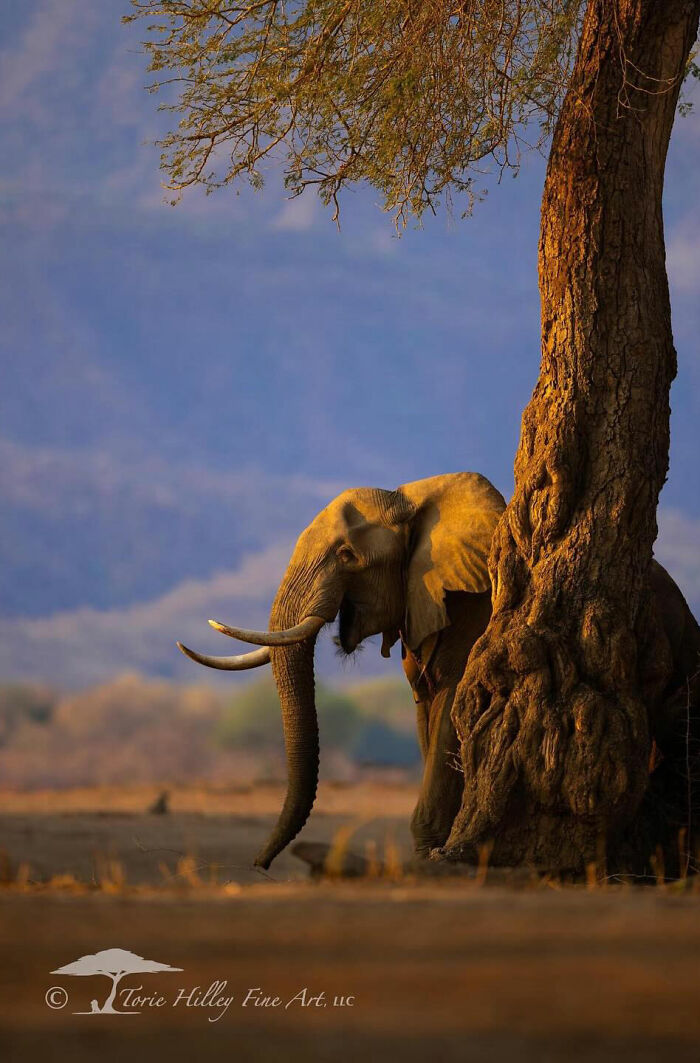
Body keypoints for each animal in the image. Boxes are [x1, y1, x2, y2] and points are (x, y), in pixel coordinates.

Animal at [178, 471, 507, 867]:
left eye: (347, 555)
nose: (260, 864)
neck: (411, 501)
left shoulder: (472, 610)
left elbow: (451, 699)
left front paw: (430, 856)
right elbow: (426, 709)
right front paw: (431, 852)